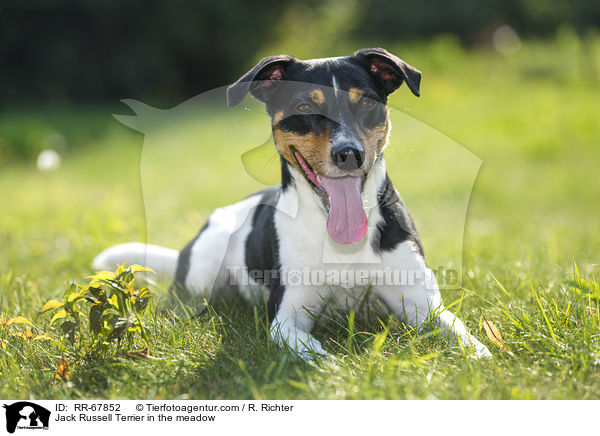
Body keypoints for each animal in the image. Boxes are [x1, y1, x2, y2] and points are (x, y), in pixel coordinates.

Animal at [91, 48, 490, 358]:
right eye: (304, 106)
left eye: (366, 101)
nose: (350, 154)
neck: (341, 241)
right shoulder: (285, 318)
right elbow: (315, 353)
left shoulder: (423, 303)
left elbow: (463, 335)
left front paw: (481, 358)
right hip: (204, 271)